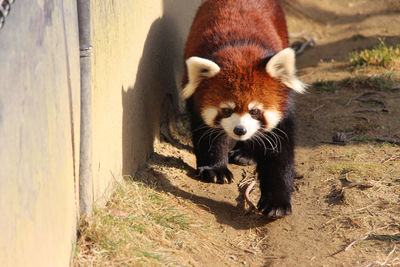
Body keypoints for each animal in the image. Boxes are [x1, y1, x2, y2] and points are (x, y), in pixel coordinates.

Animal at [182, 0, 306, 219]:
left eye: (254, 111)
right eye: (226, 110)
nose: (240, 130)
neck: (239, 48)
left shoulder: (283, 109)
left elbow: (279, 155)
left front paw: (276, 203)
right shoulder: (196, 98)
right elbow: (208, 135)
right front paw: (216, 169)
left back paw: (245, 154)